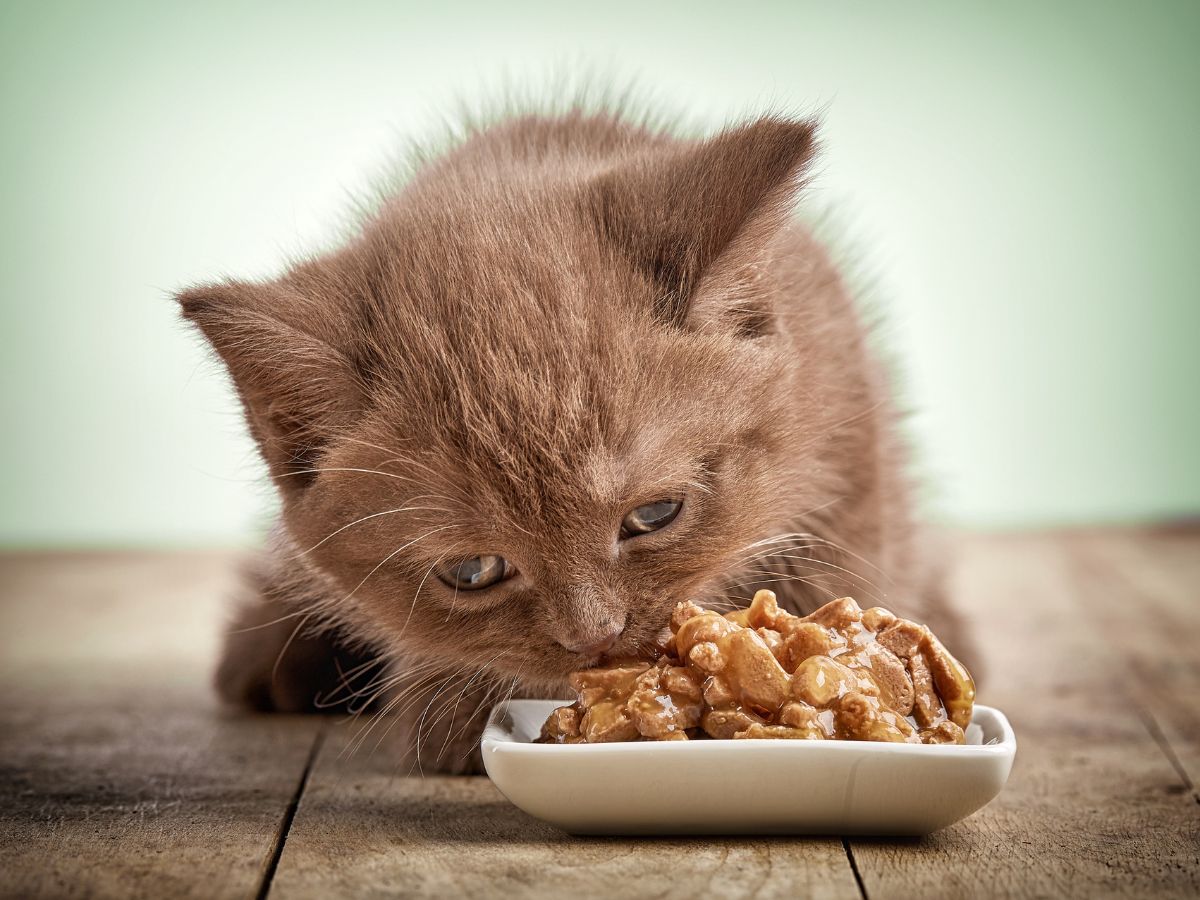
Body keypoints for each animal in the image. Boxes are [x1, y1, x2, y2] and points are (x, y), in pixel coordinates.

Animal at [177, 103, 969, 777]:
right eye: (472, 571)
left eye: (654, 515)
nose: (595, 636)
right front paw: (458, 716)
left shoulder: (848, 430)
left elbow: (843, 573)